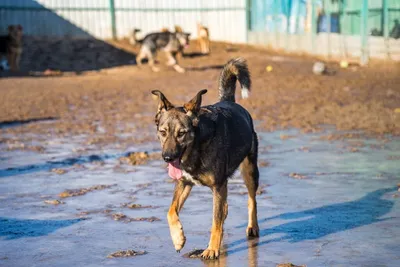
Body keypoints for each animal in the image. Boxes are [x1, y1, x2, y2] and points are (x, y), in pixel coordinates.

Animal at [151, 58, 260, 260]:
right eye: (163, 132)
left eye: (181, 133)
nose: (167, 158)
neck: (197, 146)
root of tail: (228, 100)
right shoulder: (184, 183)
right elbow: (170, 211)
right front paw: (178, 238)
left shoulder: (218, 185)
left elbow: (215, 221)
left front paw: (211, 249)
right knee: (225, 208)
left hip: (250, 170)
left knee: (251, 199)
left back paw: (252, 227)